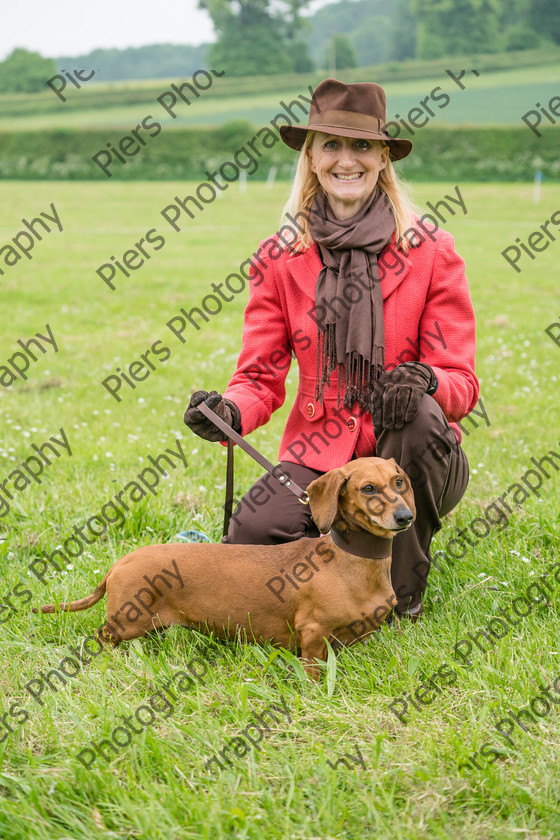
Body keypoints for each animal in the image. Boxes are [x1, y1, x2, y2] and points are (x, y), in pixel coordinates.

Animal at [34, 456, 412, 680]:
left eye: (399, 482)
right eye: (367, 488)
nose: (406, 517)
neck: (355, 560)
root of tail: (119, 564)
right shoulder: (313, 633)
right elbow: (313, 671)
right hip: (125, 624)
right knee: (102, 638)